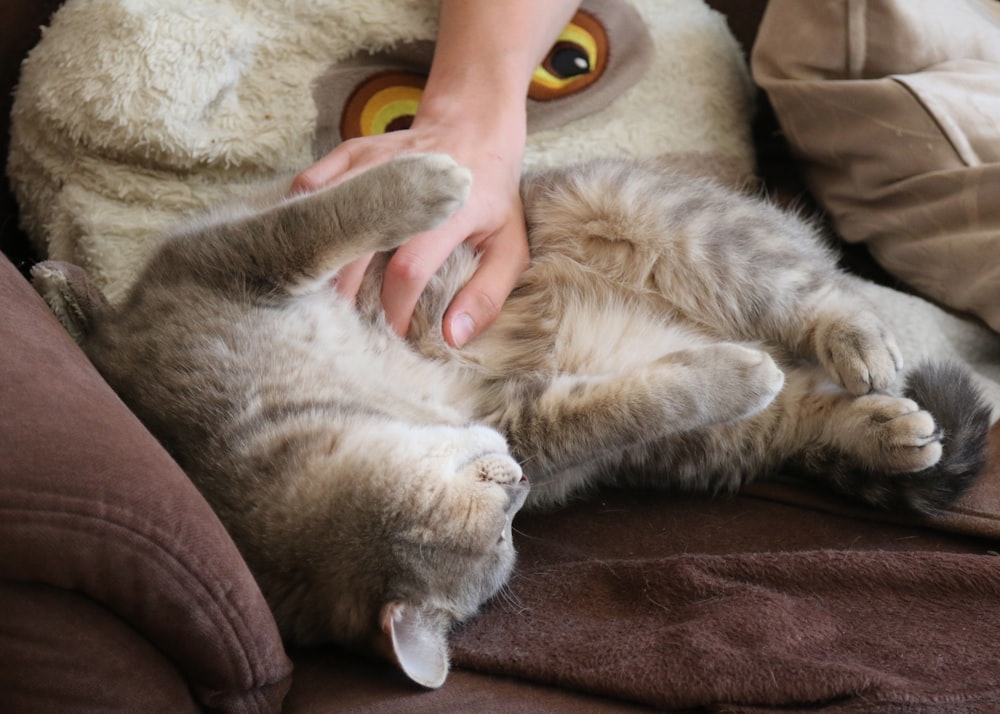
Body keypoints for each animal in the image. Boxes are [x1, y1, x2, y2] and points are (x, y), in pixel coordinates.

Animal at [33, 153, 992, 688]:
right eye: (501, 531)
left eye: (496, 490)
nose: (521, 482)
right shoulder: (526, 413)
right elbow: (630, 404)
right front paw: (724, 376)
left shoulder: (229, 264)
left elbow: (322, 217)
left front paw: (430, 176)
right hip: (711, 442)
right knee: (800, 406)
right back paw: (881, 427)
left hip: (666, 223)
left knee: (822, 298)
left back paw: (861, 344)